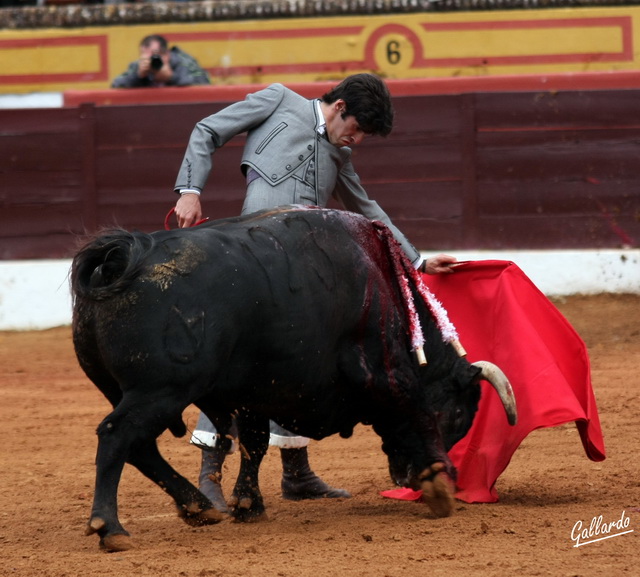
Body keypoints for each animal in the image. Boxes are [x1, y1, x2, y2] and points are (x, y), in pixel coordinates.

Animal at [70, 206, 516, 548]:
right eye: (458, 415)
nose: (405, 477)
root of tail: (125, 257)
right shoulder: (384, 370)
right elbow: (416, 407)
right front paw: (439, 481)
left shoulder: (251, 393)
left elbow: (255, 444)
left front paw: (249, 505)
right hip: (161, 390)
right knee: (117, 436)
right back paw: (111, 529)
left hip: (131, 392)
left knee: (140, 445)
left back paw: (198, 507)